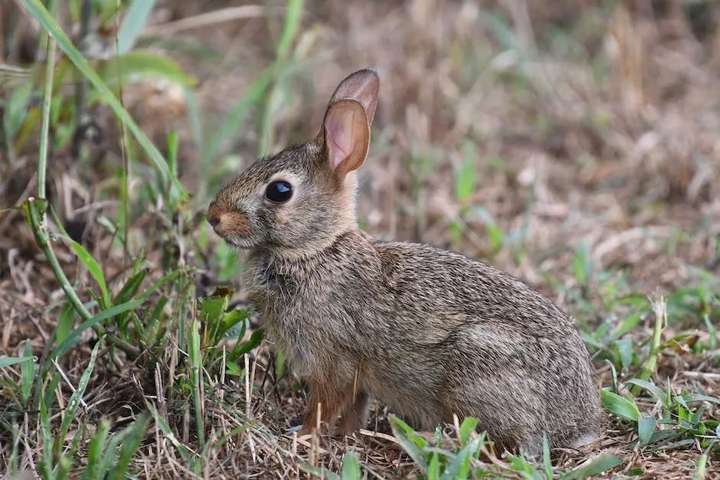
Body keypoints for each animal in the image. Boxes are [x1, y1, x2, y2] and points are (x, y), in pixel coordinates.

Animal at [208, 67, 600, 454]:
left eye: (279, 191)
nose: (214, 216)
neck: (316, 250)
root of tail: (577, 423)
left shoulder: (332, 361)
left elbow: (324, 405)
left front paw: (302, 436)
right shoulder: (356, 377)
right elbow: (354, 408)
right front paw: (346, 437)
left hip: (478, 369)